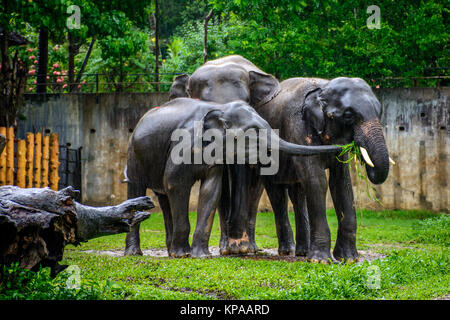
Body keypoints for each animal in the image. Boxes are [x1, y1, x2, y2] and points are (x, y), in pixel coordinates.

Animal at [123, 97, 342, 258]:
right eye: (253, 133)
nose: (341, 147)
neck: (220, 108)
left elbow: (211, 189)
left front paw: (201, 256)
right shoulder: (182, 145)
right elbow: (176, 184)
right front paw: (183, 255)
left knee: (163, 197)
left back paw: (169, 251)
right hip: (133, 153)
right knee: (137, 188)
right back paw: (136, 253)